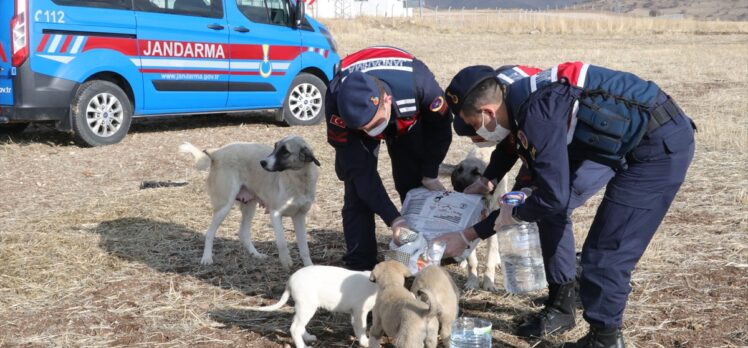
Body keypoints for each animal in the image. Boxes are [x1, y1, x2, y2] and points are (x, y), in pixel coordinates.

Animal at [183, 136, 322, 270]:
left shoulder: (299, 216)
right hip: (224, 206)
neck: (298, 181)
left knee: (243, 233)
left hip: (250, 207)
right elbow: (282, 241)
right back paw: (207, 258)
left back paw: (255, 254)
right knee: (210, 233)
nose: (262, 163)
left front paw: (309, 267)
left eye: (285, 152)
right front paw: (286, 260)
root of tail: (217, 152)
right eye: (275, 147)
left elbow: (304, 248)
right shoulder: (275, 214)